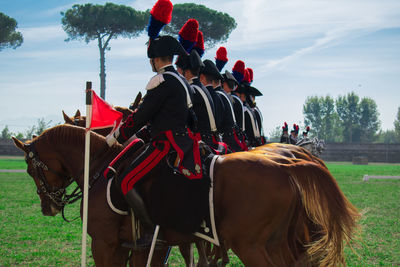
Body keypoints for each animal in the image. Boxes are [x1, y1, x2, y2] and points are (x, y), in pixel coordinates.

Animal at [14, 125, 360, 267]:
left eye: (30, 169)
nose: (48, 206)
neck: (100, 165)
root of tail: (287, 165)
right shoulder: (146, 245)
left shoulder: (105, 244)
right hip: (278, 243)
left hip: (252, 246)